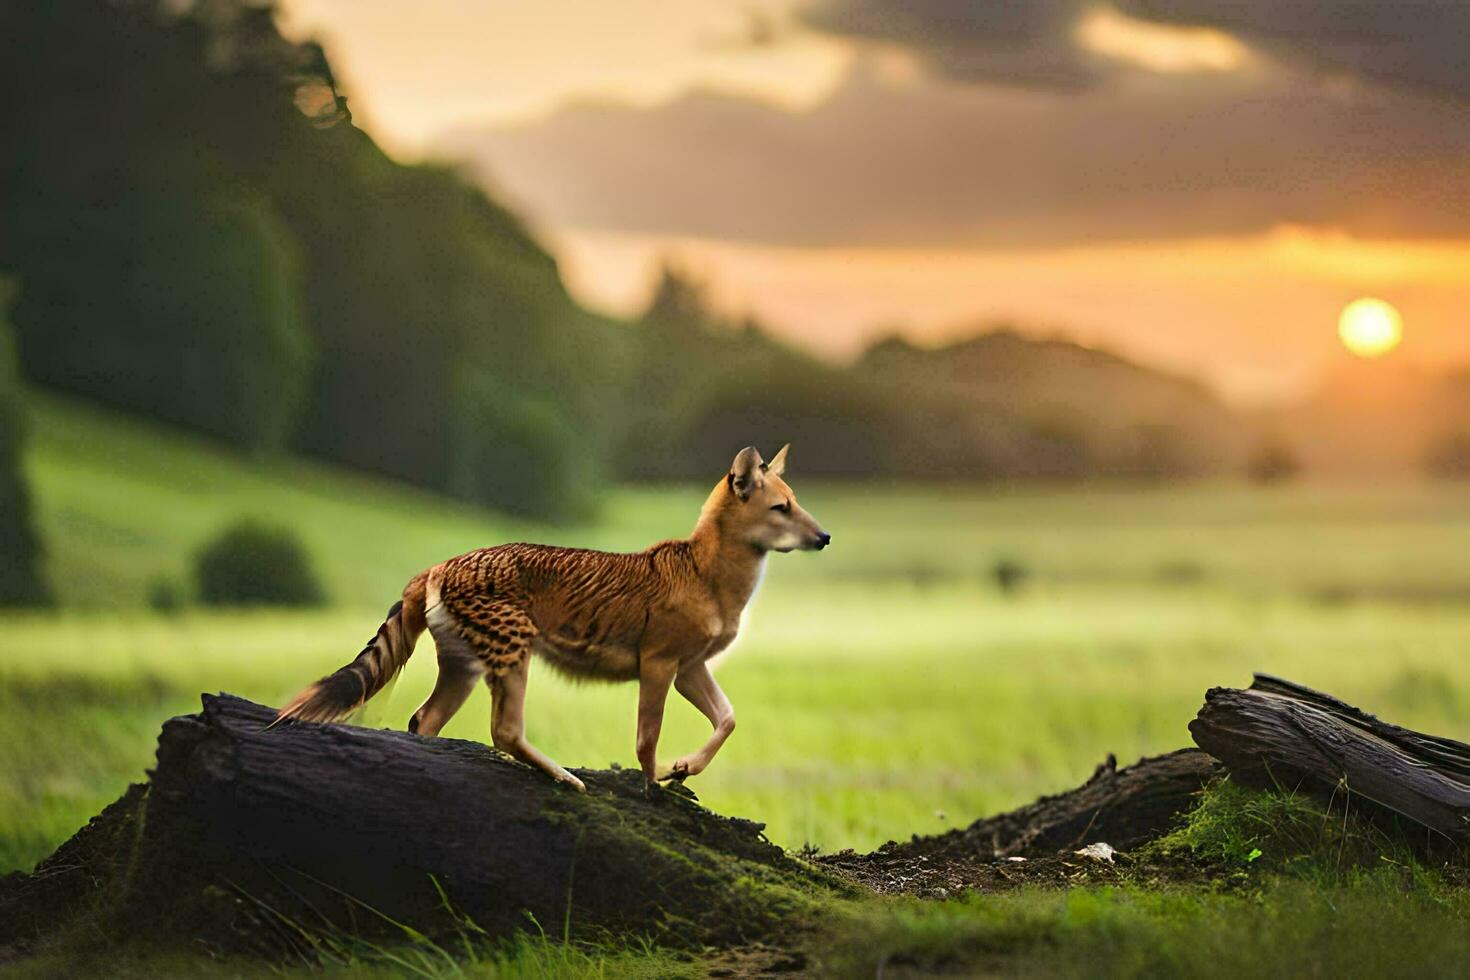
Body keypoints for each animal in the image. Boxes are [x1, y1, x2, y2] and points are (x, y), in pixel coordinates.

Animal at [276, 443, 829, 787]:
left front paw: (685, 768)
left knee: (424, 720)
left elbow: (728, 720)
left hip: (464, 665)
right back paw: (563, 775)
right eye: (780, 508)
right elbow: (646, 739)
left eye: (794, 503)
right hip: (513, 645)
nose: (824, 536)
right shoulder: (658, 664)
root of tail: (440, 564)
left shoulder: (688, 668)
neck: (709, 571)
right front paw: (656, 784)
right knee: (503, 730)